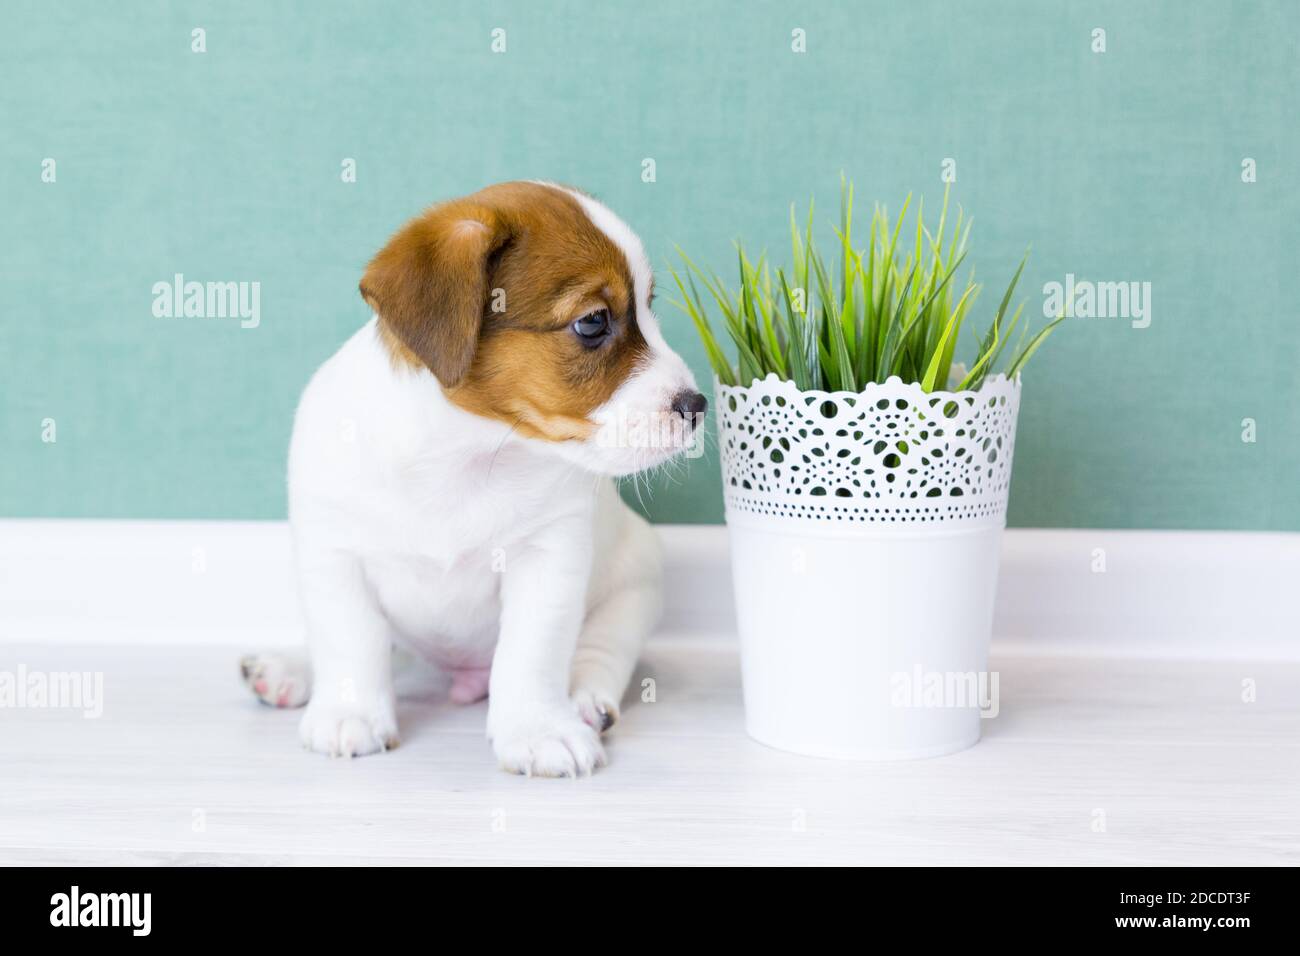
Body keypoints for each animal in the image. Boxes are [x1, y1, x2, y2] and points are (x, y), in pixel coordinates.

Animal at [239, 180, 707, 780]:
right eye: (593, 322)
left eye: (649, 308)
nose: (697, 406)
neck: (463, 453)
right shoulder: (333, 554)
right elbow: (351, 640)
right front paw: (350, 711)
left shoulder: (548, 560)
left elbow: (531, 654)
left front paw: (538, 728)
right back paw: (289, 669)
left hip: (635, 588)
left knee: (601, 651)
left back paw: (584, 701)